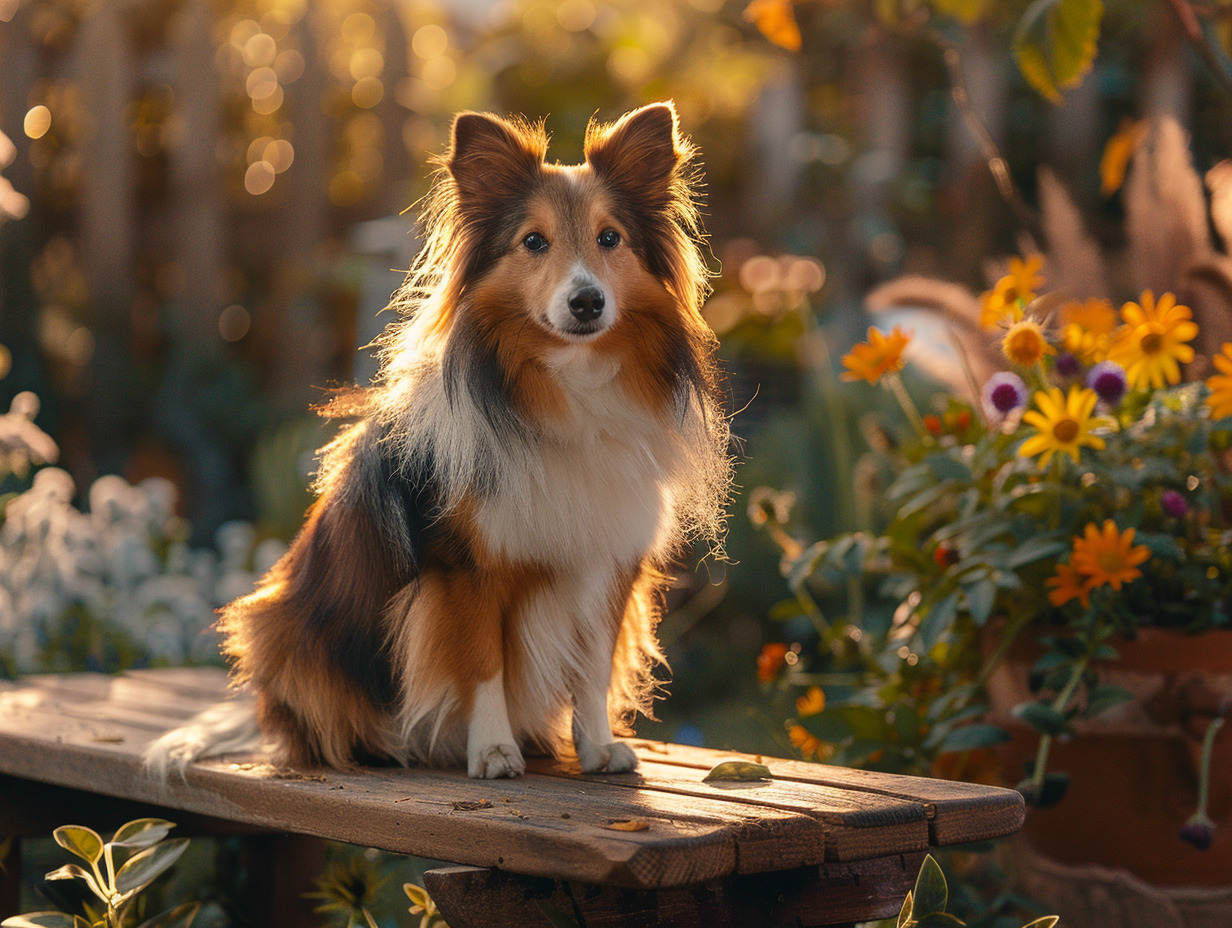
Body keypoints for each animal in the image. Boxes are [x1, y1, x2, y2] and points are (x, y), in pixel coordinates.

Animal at [150, 101, 734, 778]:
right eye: (533, 242)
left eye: (610, 238)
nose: (587, 302)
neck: (566, 387)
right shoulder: (462, 569)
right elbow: (483, 665)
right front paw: (494, 751)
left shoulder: (606, 559)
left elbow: (592, 667)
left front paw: (596, 747)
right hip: (279, 630)